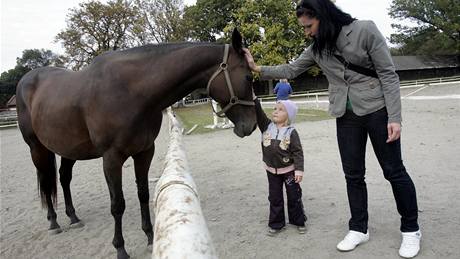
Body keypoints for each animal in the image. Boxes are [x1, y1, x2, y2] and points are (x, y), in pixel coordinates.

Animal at [16, 29, 256, 259]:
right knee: (46, 180)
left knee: (64, 178)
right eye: (248, 77)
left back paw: (73, 217)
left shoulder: (144, 152)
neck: (132, 92)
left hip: (69, 150)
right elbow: (118, 204)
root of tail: (26, 80)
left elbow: (143, 194)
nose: (251, 125)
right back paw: (53, 221)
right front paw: (120, 248)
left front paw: (150, 237)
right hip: (37, 148)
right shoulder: (111, 158)